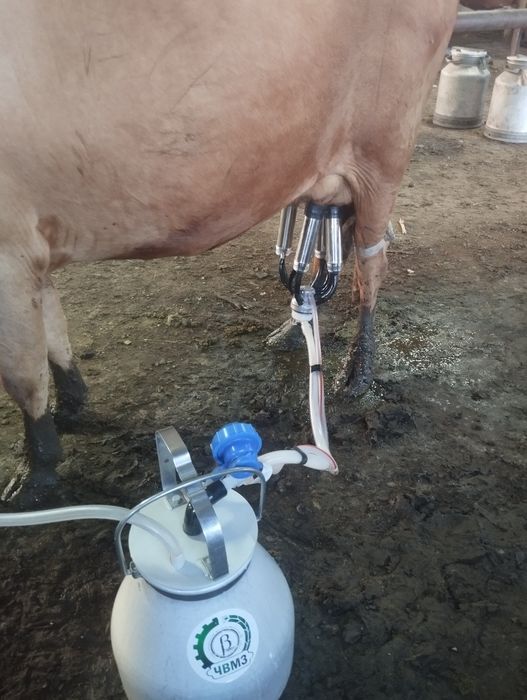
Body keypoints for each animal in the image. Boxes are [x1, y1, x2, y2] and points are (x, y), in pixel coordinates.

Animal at [1, 0, 487, 506]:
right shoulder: (33, 248)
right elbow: (54, 329)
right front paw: (71, 403)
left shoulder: (10, 248)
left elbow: (22, 373)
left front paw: (34, 471)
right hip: (328, 166)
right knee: (332, 246)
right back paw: (294, 329)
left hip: (386, 149)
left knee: (372, 261)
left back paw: (357, 370)